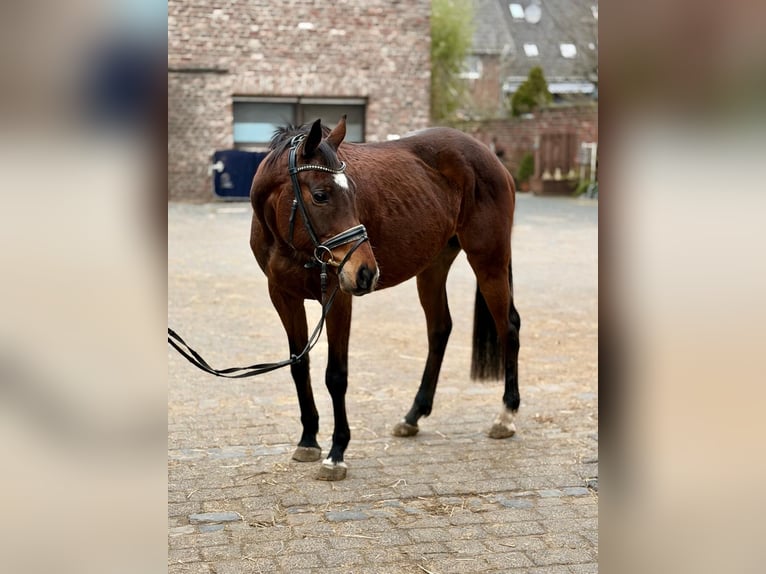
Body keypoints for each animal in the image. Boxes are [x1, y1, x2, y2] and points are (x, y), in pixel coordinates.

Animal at [249, 116, 521, 480]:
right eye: (320, 195)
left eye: (353, 192)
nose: (366, 272)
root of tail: (491, 158)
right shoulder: (282, 295)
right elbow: (299, 365)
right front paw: (308, 440)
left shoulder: (337, 296)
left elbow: (336, 375)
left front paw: (336, 453)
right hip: (433, 266)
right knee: (440, 329)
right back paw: (413, 416)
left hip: (489, 261)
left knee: (508, 329)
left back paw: (505, 416)